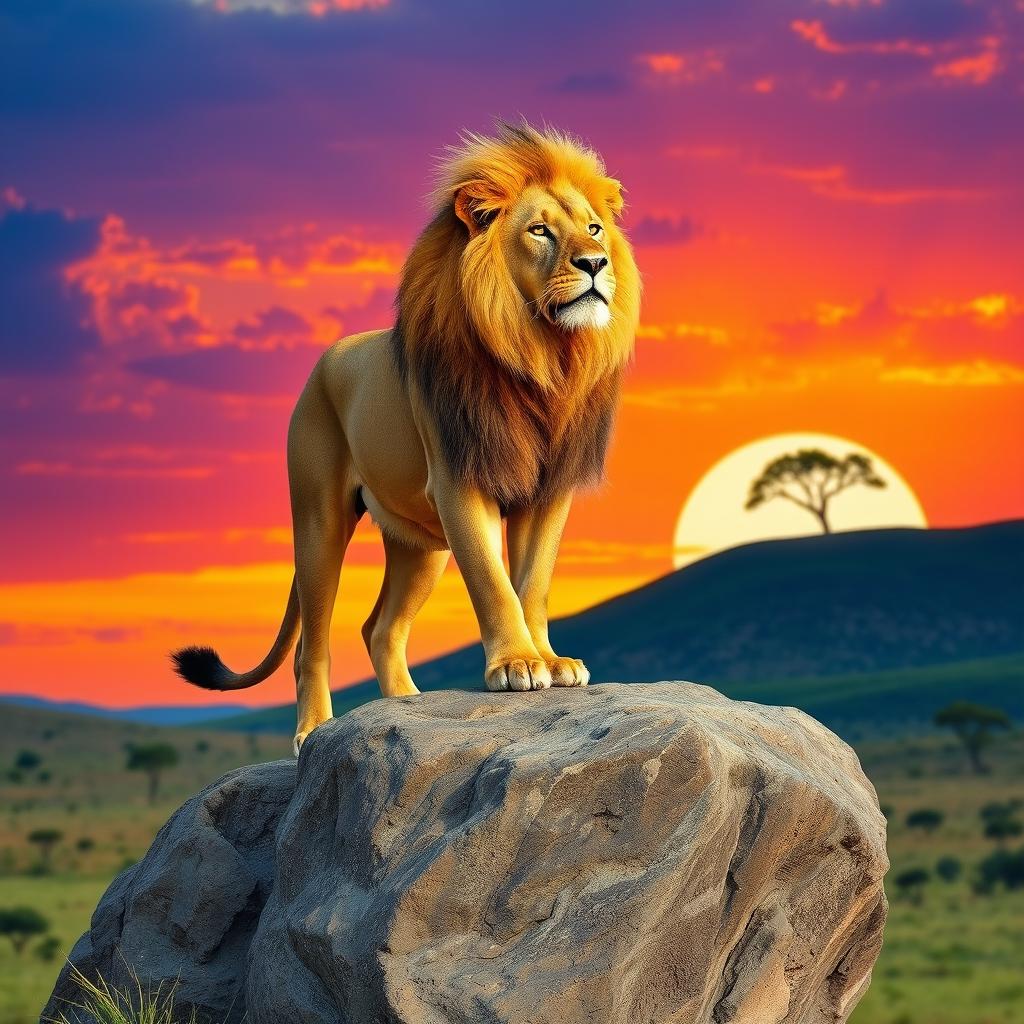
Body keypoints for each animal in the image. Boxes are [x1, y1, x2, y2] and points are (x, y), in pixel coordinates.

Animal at [173, 123, 641, 754]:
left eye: (593, 228)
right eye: (539, 230)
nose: (595, 262)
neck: (542, 357)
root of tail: (326, 359)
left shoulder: (547, 489)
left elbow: (534, 582)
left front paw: (549, 659)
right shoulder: (460, 482)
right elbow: (494, 582)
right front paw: (516, 664)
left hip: (422, 546)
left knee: (380, 628)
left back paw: (404, 709)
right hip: (318, 521)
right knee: (311, 642)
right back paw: (313, 731)